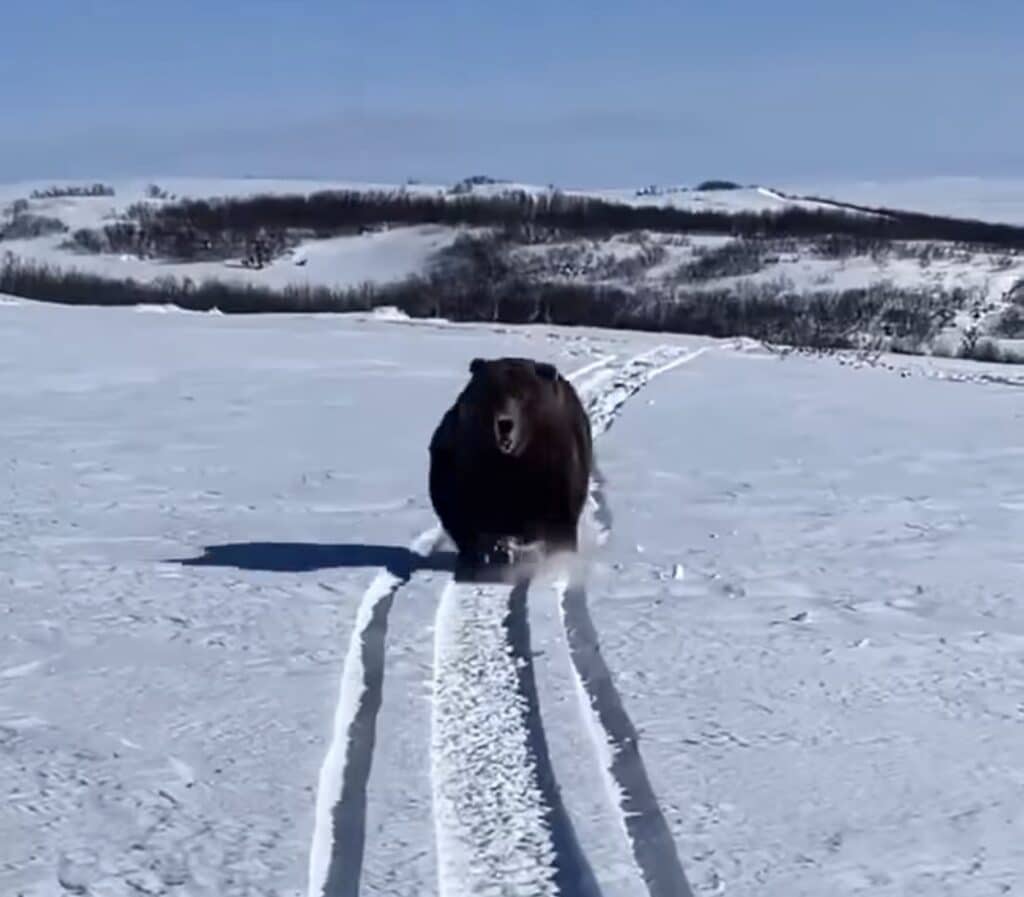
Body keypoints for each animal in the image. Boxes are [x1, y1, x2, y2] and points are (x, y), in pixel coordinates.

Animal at [428, 356, 593, 567]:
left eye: (522, 396)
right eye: (491, 392)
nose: (505, 423)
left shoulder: (553, 474)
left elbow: (560, 526)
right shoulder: (469, 471)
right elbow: (465, 520)